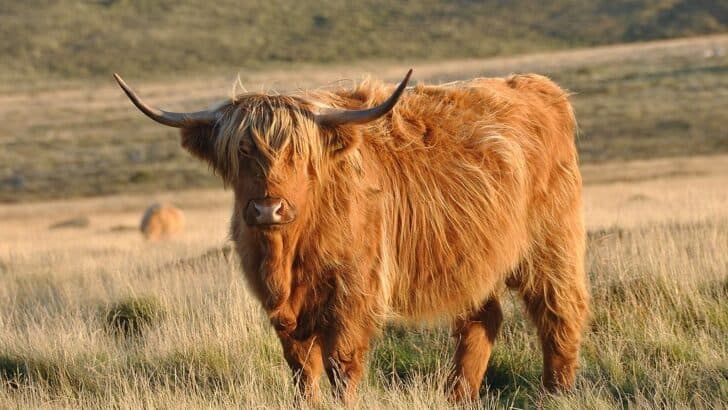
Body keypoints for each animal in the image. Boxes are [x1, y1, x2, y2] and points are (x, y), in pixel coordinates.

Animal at [114, 69, 590, 403]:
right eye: (243, 150)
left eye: (297, 153)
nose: (268, 209)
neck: (288, 255)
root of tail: (540, 87)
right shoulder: (282, 308)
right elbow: (301, 369)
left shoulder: (353, 293)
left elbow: (341, 365)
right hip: (473, 256)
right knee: (481, 321)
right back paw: (458, 396)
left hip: (551, 245)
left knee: (560, 313)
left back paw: (555, 394)